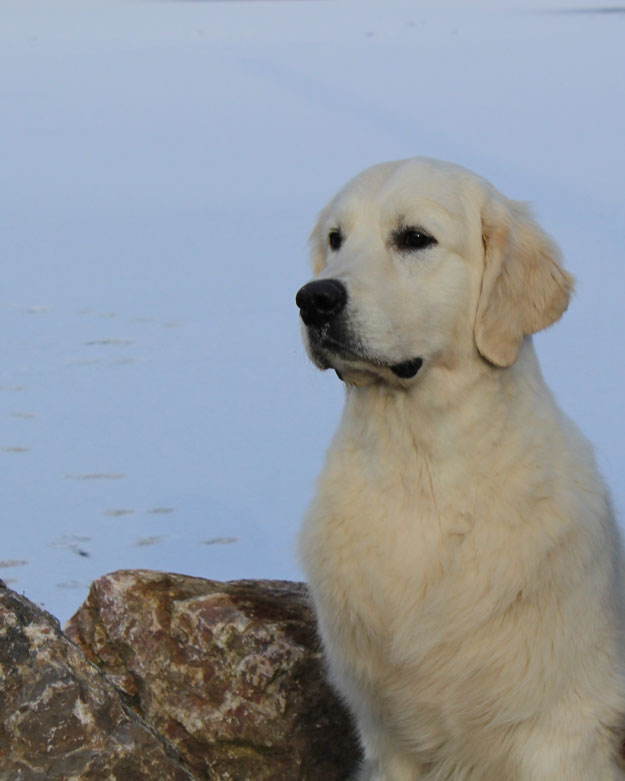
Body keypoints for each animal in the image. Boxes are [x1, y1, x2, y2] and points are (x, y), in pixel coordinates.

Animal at [294, 155, 624, 776]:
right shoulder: (388, 738)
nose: (313, 299)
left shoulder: (559, 731)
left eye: (414, 238)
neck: (421, 474)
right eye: (335, 239)